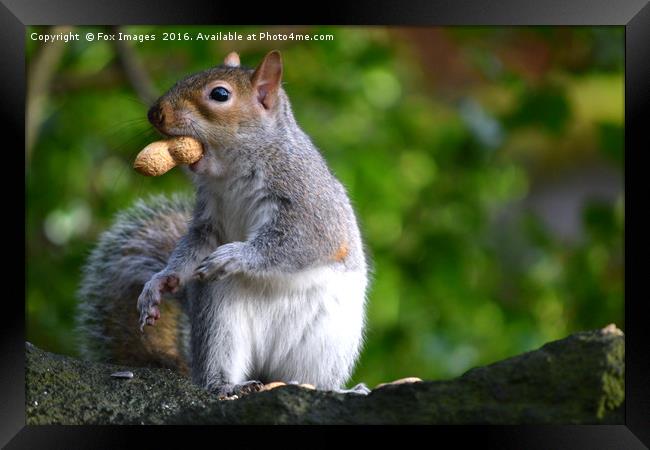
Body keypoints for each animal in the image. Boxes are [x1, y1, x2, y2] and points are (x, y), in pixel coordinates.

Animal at [74, 51, 370, 398]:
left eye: (219, 94)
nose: (154, 113)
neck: (231, 170)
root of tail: (267, 370)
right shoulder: (208, 217)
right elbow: (195, 245)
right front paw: (160, 281)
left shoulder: (308, 200)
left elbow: (302, 241)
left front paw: (234, 256)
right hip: (219, 316)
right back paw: (226, 385)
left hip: (324, 342)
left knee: (310, 378)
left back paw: (334, 390)